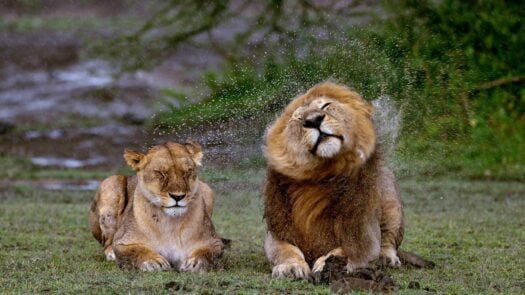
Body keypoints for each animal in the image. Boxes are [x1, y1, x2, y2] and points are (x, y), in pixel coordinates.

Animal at [89, 141, 223, 272]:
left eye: (187, 172)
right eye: (160, 173)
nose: (178, 196)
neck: (170, 223)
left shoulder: (214, 242)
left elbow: (207, 252)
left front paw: (195, 263)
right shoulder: (123, 242)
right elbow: (136, 251)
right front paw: (154, 262)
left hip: (206, 188)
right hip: (111, 182)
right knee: (107, 242)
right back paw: (111, 253)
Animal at [264, 82, 404, 280]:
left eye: (325, 106)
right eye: (298, 118)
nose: (314, 120)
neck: (323, 176)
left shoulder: (365, 235)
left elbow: (345, 251)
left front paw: (326, 265)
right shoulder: (278, 232)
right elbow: (286, 250)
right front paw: (290, 267)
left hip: (392, 207)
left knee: (389, 239)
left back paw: (387, 258)